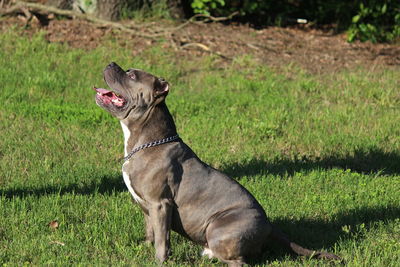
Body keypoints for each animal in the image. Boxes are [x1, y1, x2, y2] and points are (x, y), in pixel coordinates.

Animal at [94, 62, 340, 266]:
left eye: (131, 75)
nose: (111, 63)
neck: (149, 140)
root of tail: (269, 226)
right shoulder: (147, 206)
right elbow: (151, 232)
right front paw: (144, 248)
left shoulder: (160, 204)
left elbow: (162, 240)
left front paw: (159, 261)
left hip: (218, 228)